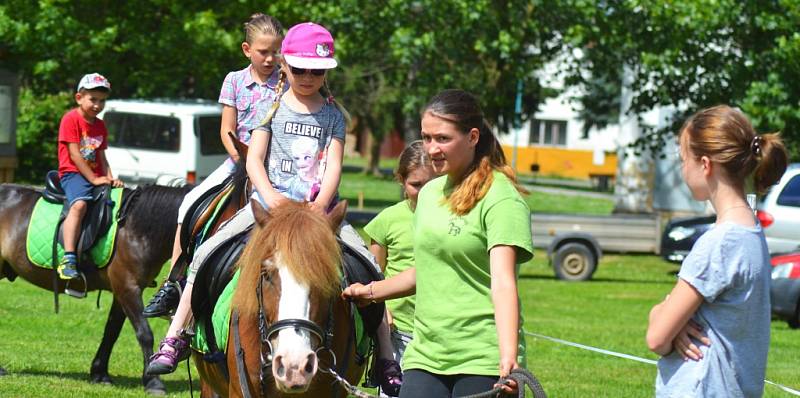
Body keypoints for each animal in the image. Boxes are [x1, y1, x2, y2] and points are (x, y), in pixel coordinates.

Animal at [0, 183, 191, 394]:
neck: (136, 228)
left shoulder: (121, 292)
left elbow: (111, 332)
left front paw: (99, 374)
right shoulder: (128, 288)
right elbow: (144, 334)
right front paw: (153, 381)